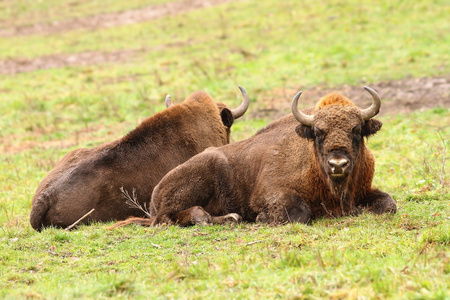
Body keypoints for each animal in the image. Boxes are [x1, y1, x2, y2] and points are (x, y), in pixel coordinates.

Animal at [140, 85, 394, 226]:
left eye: (356, 130)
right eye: (318, 132)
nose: (338, 164)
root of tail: (156, 191)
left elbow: (389, 204)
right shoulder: (270, 194)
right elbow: (299, 212)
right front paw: (262, 218)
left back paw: (230, 219)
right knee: (166, 218)